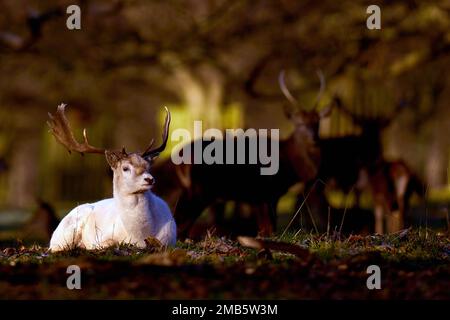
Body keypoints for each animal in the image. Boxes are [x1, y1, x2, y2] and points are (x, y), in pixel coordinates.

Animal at [48, 104, 176, 251]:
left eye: (148, 166)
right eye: (125, 168)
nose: (149, 179)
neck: (140, 236)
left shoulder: (170, 239)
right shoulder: (103, 237)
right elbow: (110, 243)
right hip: (64, 233)